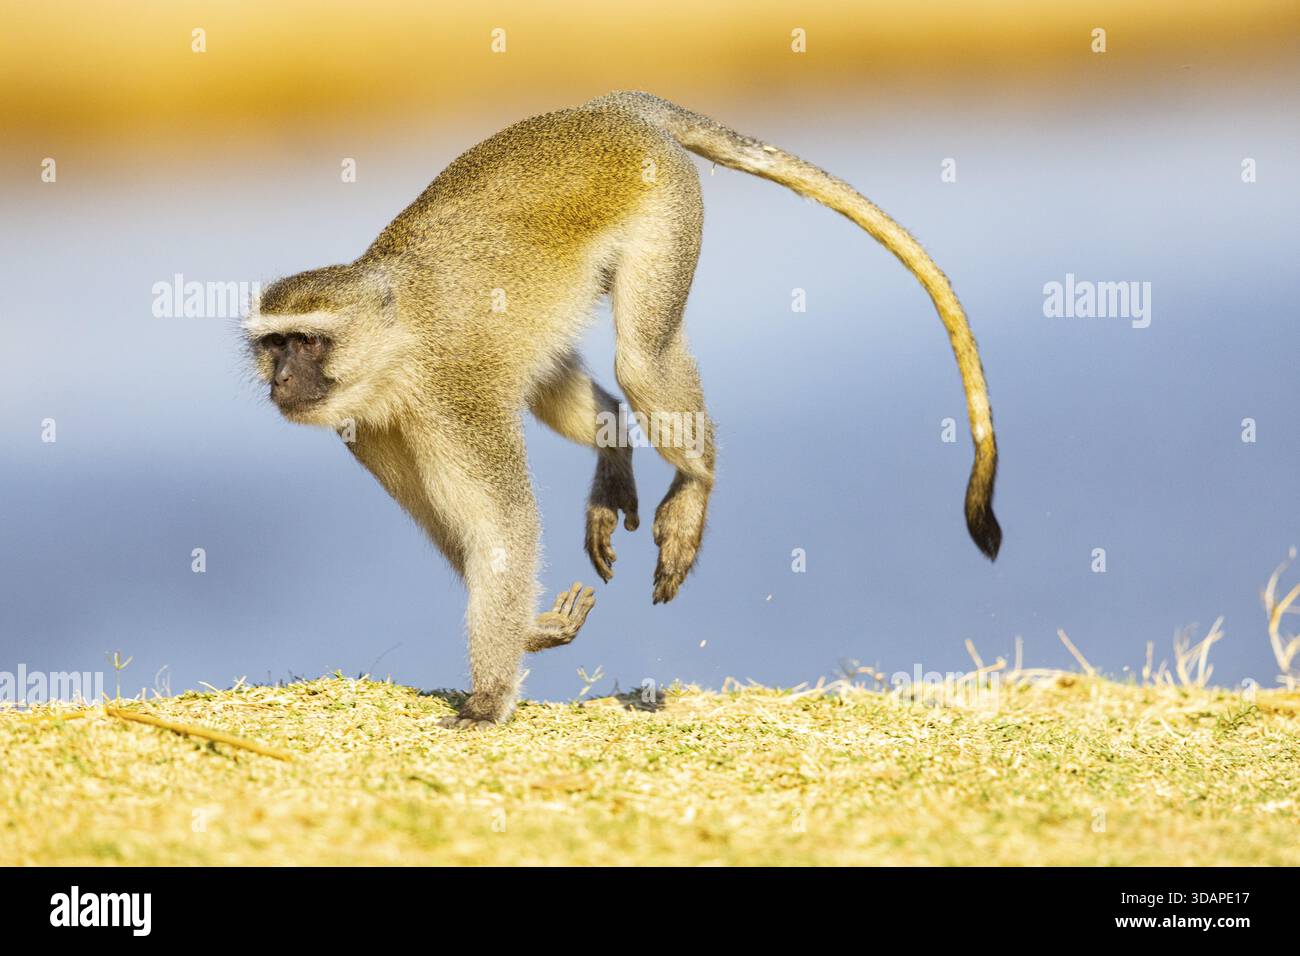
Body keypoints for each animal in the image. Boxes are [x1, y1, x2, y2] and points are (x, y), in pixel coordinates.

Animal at [242, 91, 1000, 729]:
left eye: (308, 342)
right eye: (274, 347)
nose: (282, 380)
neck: (395, 350)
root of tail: (609, 107)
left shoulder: (451, 396)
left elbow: (503, 526)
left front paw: (489, 698)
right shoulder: (371, 430)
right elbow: (458, 530)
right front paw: (530, 631)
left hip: (667, 202)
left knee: (642, 360)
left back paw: (696, 483)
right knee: (578, 383)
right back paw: (612, 446)